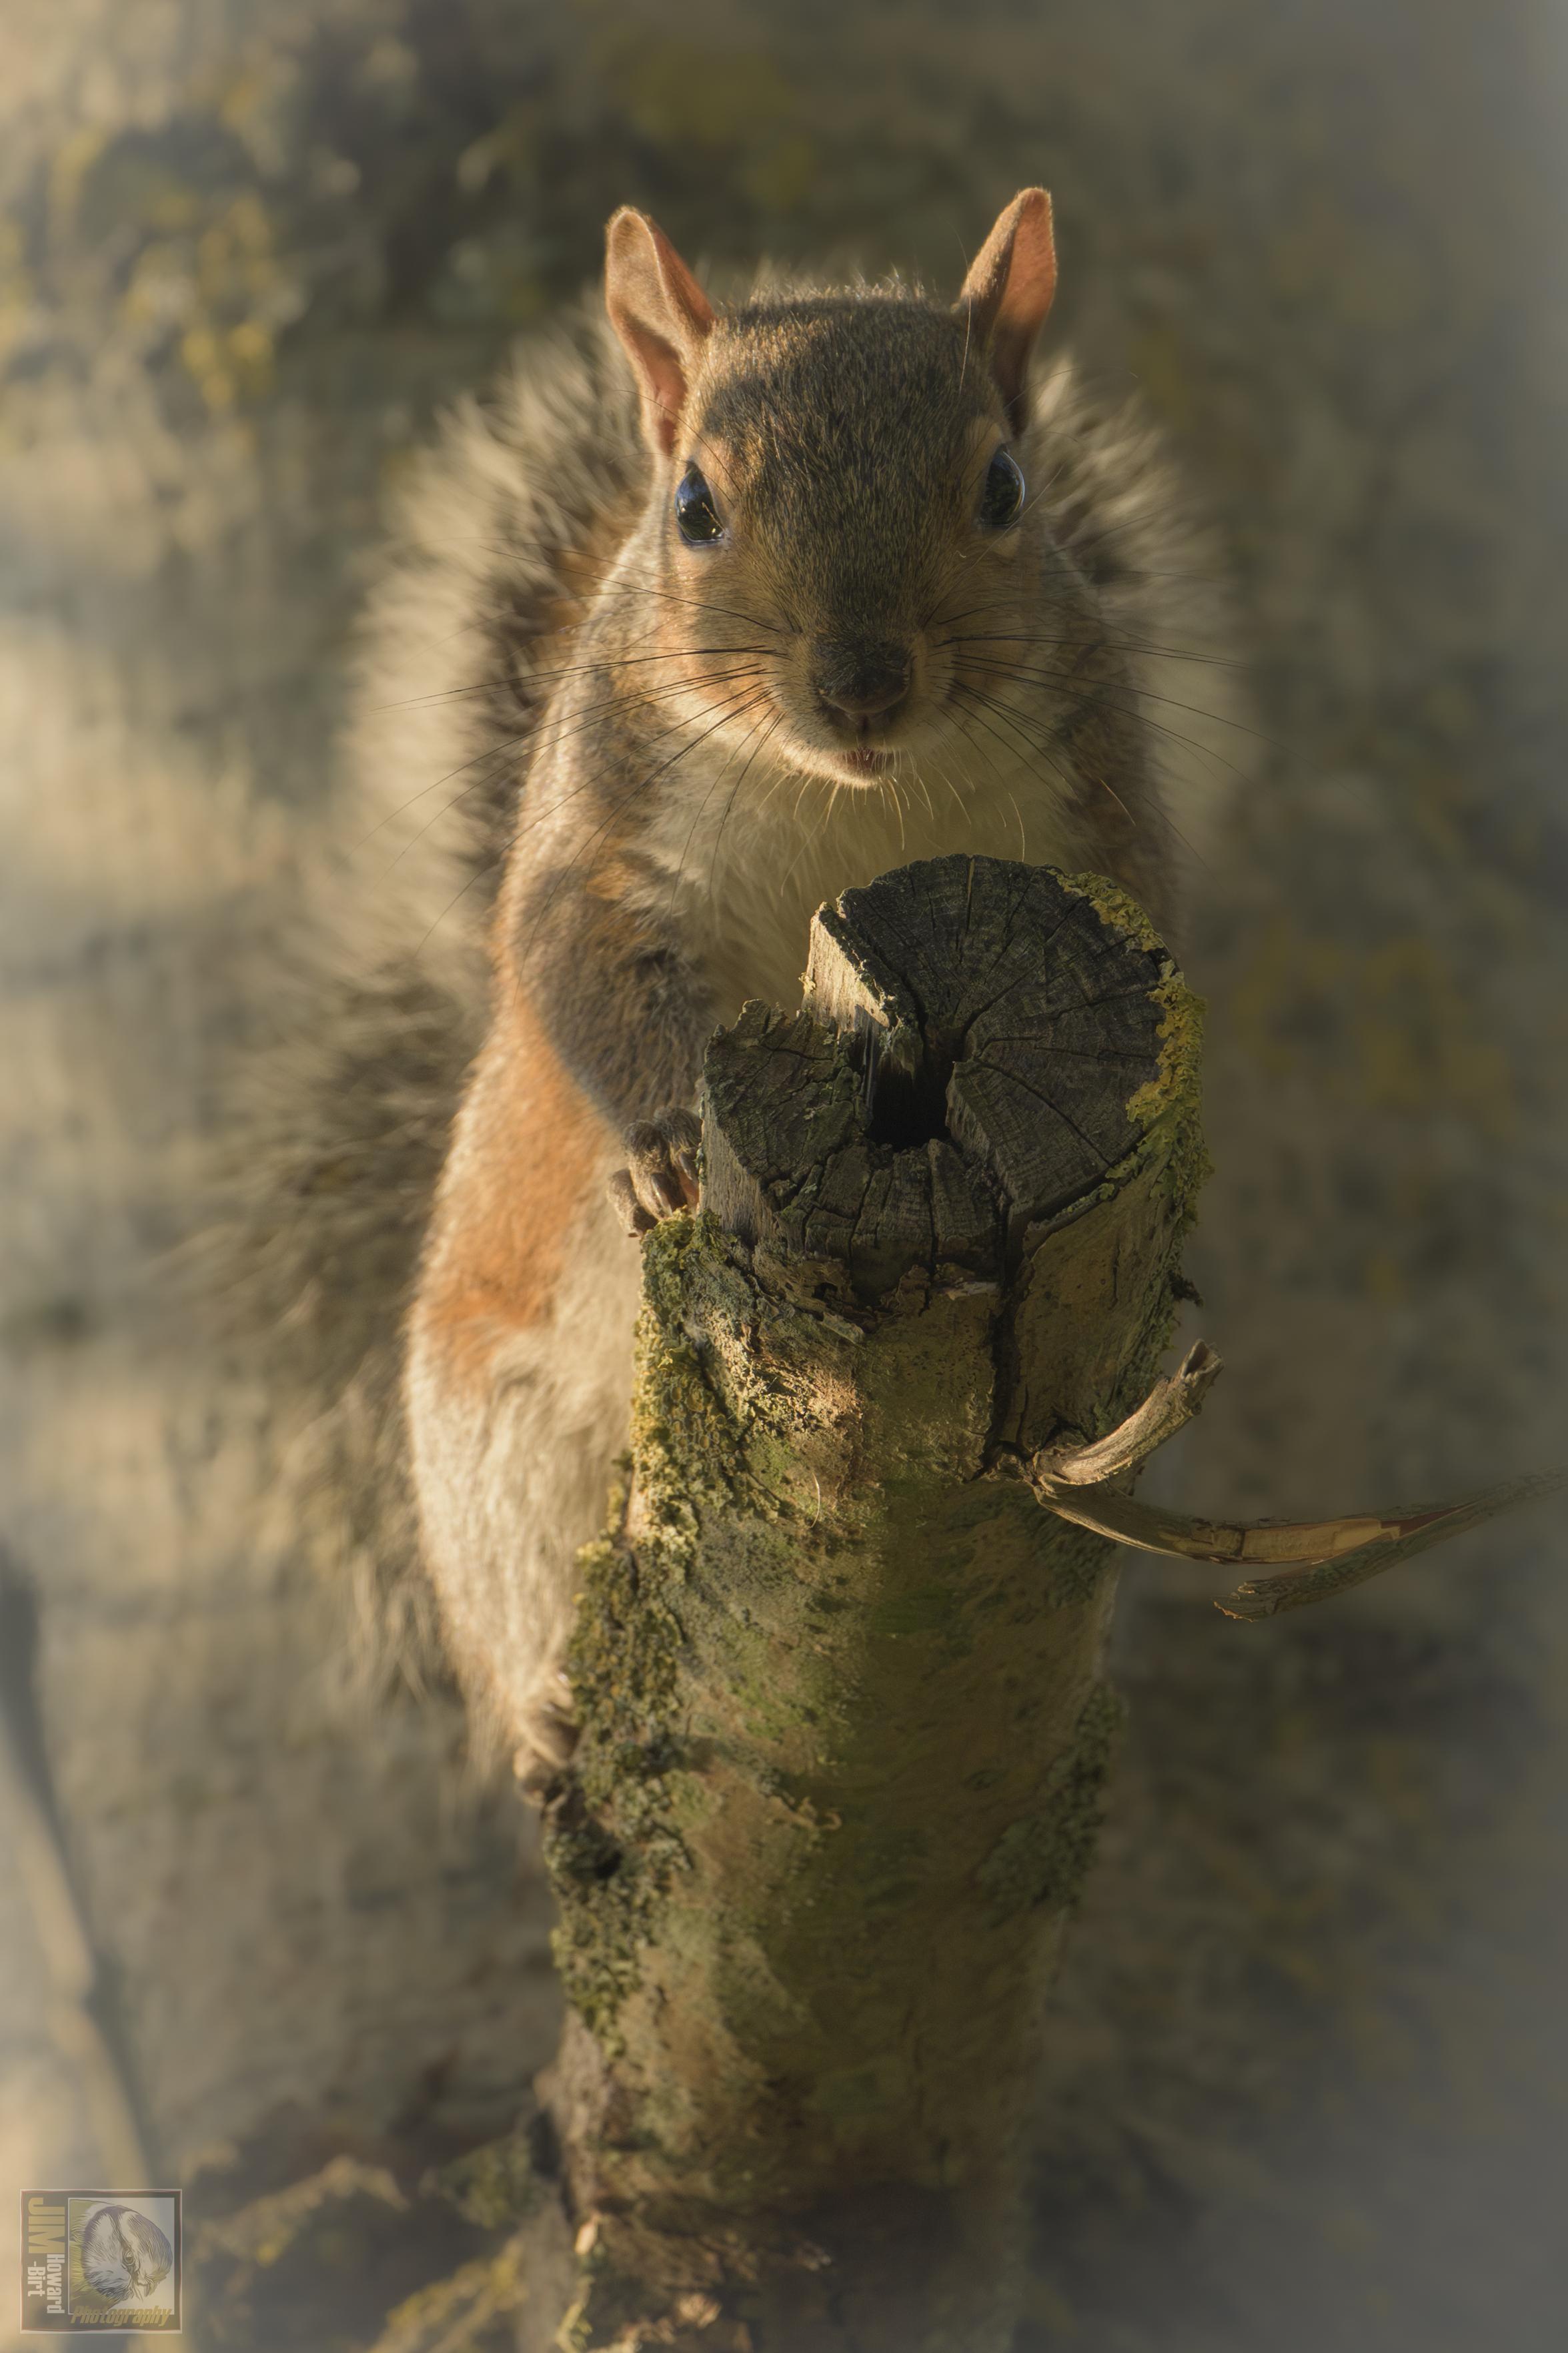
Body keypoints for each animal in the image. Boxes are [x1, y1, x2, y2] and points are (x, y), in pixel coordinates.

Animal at [239, 193, 1241, 1788]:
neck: (852, 801)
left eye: (1005, 485)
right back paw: (546, 1707)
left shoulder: (1104, 833)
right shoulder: (598, 853)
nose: (861, 680)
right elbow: (573, 973)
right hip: (494, 1444)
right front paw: (657, 1144)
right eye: (695, 505)